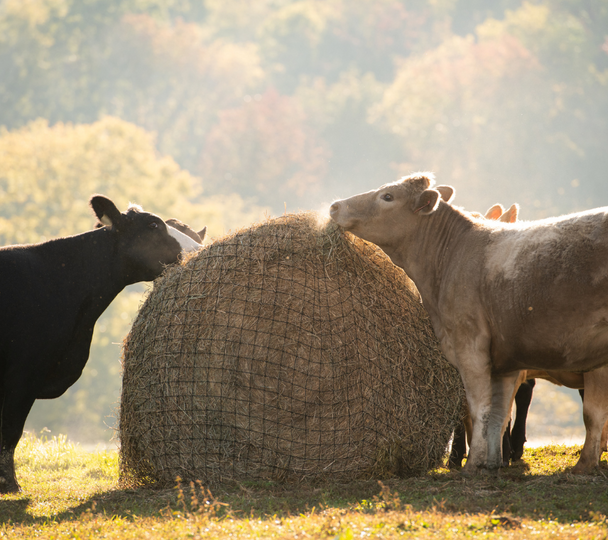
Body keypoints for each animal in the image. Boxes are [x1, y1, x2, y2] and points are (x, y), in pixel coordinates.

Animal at [330, 172, 608, 472]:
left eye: (388, 197)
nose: (334, 206)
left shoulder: (470, 345)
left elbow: (480, 409)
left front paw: (473, 463)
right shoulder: (506, 361)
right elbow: (498, 414)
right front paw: (492, 462)